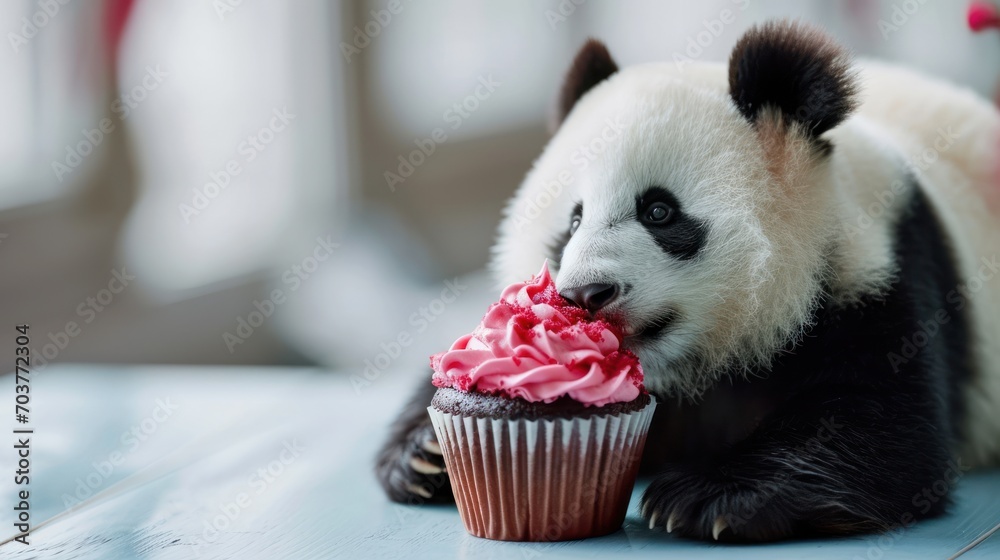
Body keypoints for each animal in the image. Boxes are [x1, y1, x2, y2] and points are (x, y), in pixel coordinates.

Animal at [376, 19, 1000, 540]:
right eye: (571, 222)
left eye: (659, 212)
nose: (586, 295)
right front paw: (422, 453)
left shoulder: (876, 270)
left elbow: (886, 428)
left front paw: (706, 497)